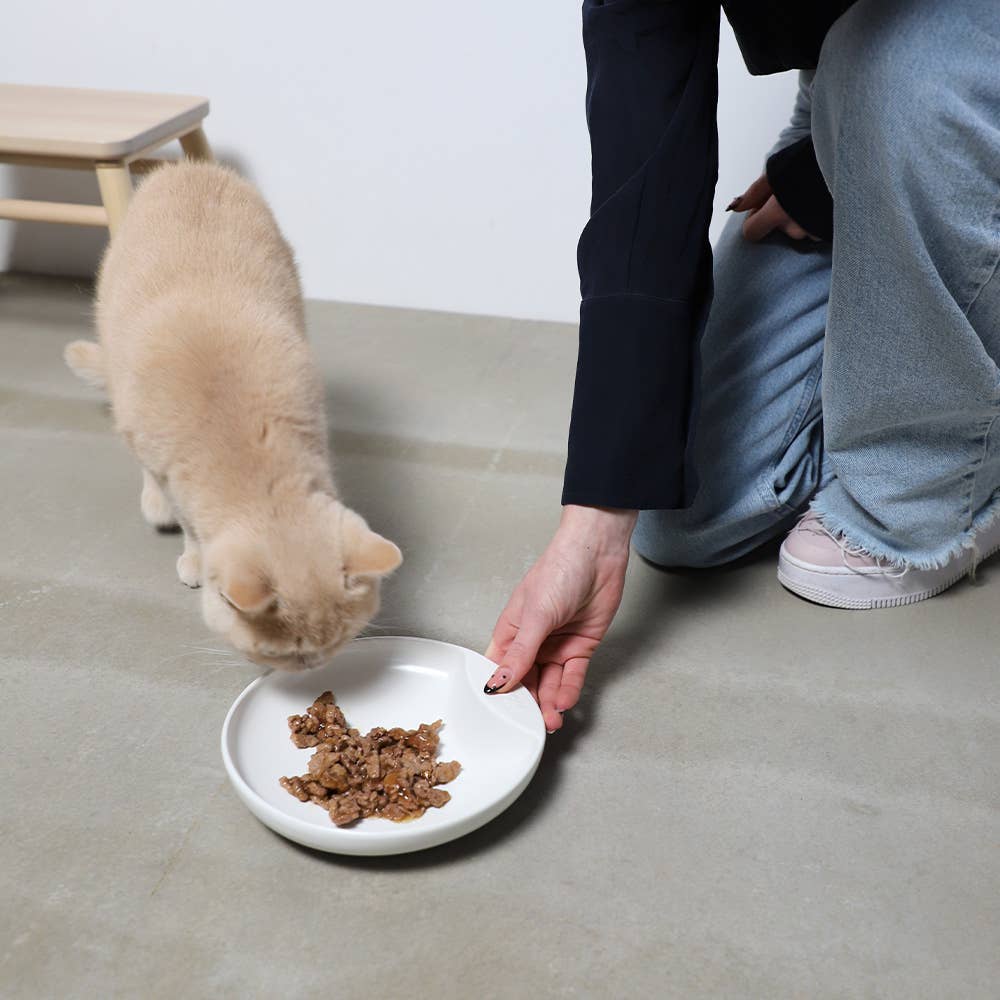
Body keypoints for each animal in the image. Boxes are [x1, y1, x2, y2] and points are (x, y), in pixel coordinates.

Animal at [64, 162, 402, 672]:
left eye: (339, 640)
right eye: (284, 654)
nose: (313, 668)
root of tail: (186, 167)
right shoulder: (166, 466)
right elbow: (188, 523)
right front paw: (193, 558)